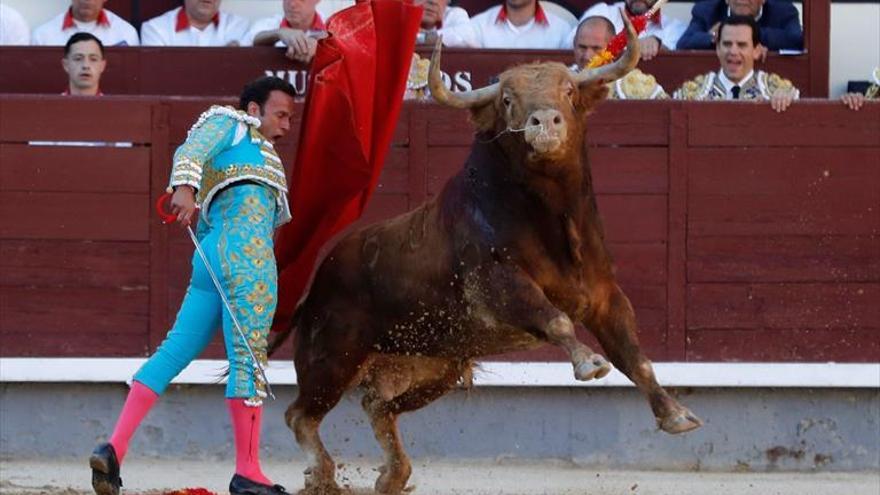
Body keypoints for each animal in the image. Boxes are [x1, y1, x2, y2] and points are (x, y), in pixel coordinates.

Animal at [274, 16, 700, 495]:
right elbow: (556, 319)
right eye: (508, 100)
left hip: (435, 368)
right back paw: (323, 475)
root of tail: (316, 282)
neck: (553, 218)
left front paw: (675, 414)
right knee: (301, 415)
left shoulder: (605, 297)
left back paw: (391, 474)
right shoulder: (499, 287)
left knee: (376, 406)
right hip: (332, 358)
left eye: (568, 92)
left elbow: (637, 357)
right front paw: (589, 362)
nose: (545, 121)